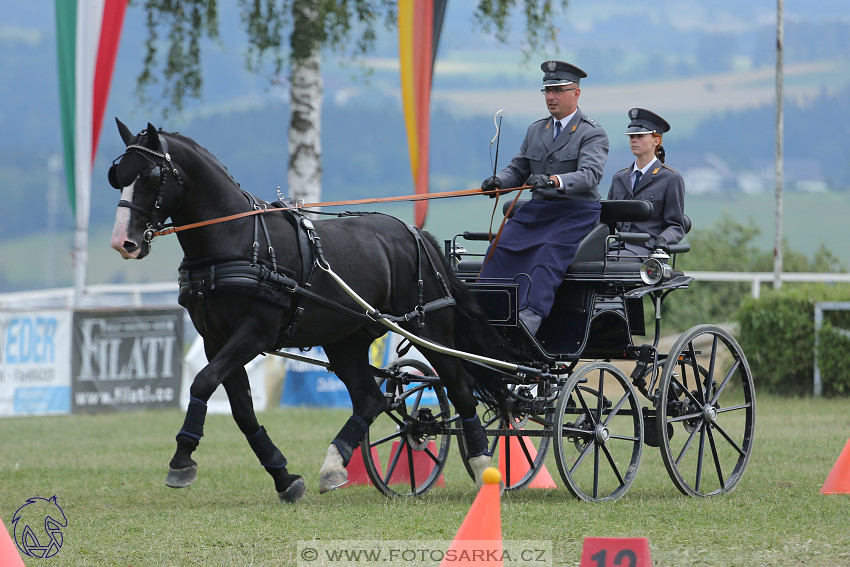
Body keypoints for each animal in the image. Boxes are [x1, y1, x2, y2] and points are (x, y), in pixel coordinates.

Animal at [108, 120, 510, 502]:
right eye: (117, 178)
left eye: (150, 176)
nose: (122, 242)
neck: (238, 241)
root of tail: (416, 233)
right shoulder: (215, 340)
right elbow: (241, 409)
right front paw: (283, 477)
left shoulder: (253, 335)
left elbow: (203, 382)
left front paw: (182, 459)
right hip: (345, 339)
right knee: (371, 398)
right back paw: (333, 465)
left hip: (428, 329)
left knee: (459, 387)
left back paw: (482, 466)